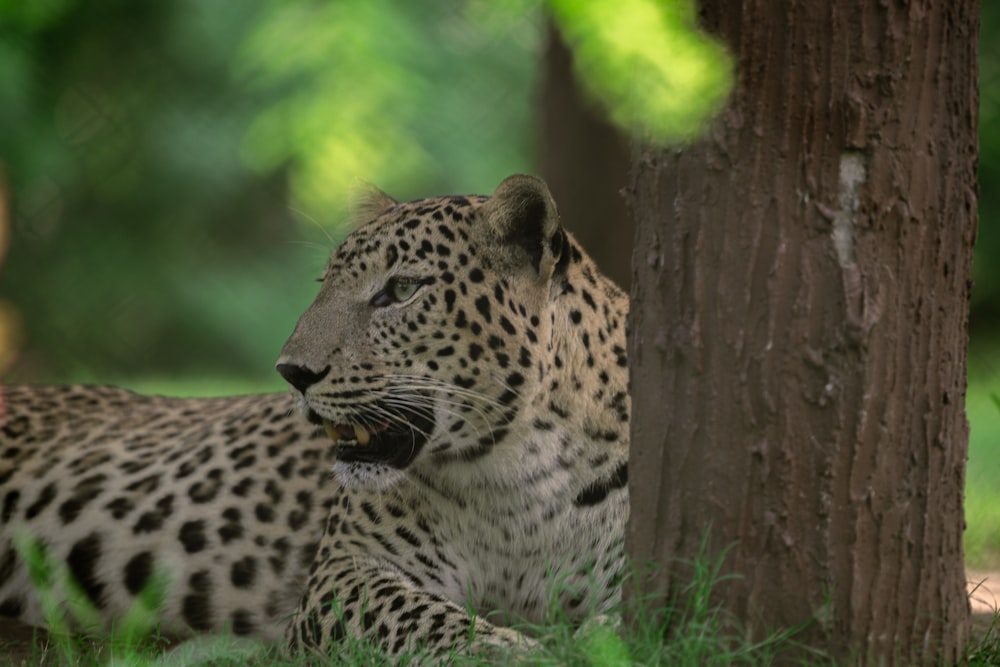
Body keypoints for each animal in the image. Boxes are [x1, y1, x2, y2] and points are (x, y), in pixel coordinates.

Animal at [0, 175, 628, 660]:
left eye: (402, 288)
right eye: (324, 284)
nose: (291, 372)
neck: (517, 480)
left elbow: (617, 621)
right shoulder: (344, 572)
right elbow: (432, 623)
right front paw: (520, 653)